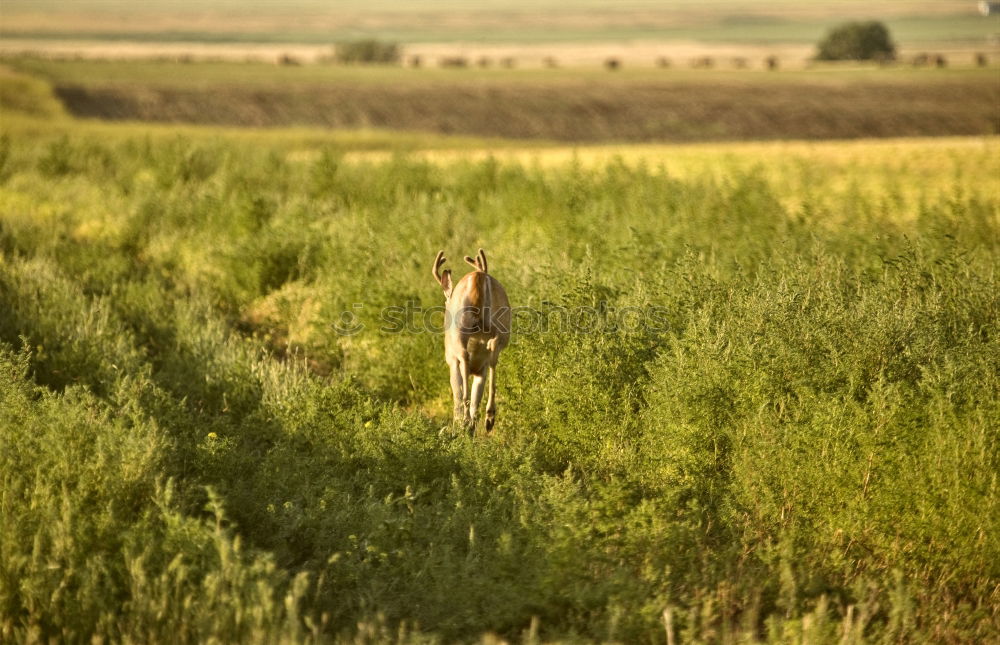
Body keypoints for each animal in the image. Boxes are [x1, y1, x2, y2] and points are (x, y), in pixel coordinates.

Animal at [432, 249, 512, 436]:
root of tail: (479, 276)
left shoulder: (451, 361)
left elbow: (457, 392)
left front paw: (460, 423)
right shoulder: (480, 370)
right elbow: (477, 396)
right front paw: (472, 427)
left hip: (460, 330)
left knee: (465, 358)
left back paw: (466, 420)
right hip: (503, 326)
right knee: (493, 354)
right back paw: (489, 418)